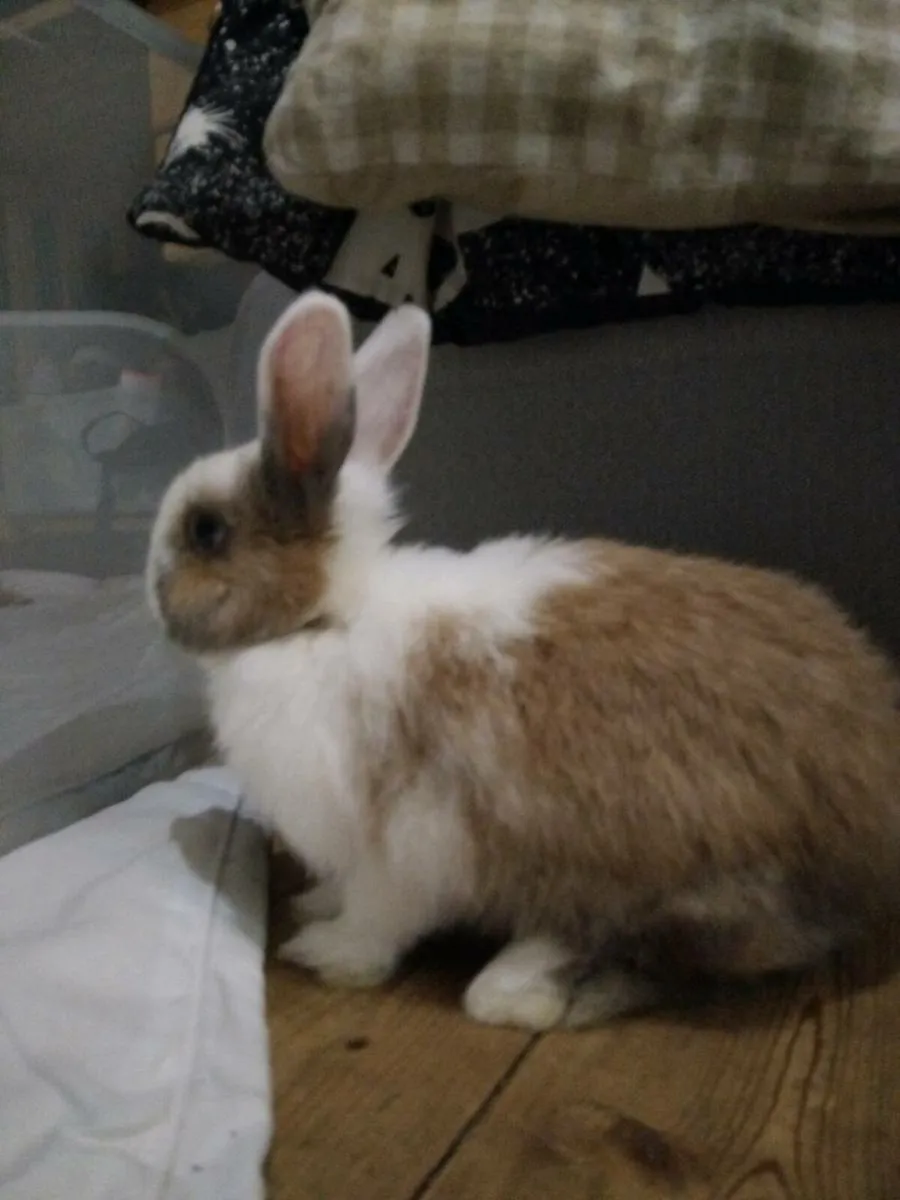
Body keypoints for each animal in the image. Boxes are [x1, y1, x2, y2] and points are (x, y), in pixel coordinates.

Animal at [146, 290, 900, 1031]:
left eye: (206, 531)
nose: (152, 593)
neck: (325, 618)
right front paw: (313, 906)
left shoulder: (401, 847)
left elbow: (378, 921)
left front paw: (327, 952)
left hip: (642, 863)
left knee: (607, 942)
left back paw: (518, 993)